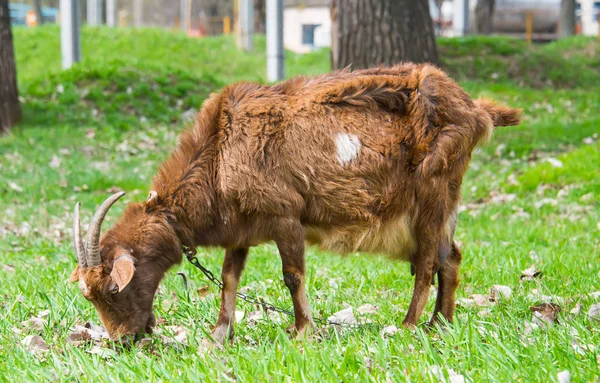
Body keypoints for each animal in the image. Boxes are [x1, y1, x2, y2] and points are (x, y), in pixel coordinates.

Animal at [69, 63, 520, 344]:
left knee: (428, 261)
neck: (220, 151)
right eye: (91, 297)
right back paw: (440, 324)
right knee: (451, 256)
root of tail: (476, 109)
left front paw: (303, 330)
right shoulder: (241, 228)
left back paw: (409, 326)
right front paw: (219, 335)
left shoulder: (284, 216)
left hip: (432, 189)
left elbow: (292, 275)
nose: (125, 341)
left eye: (113, 289)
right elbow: (229, 277)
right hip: (445, 201)